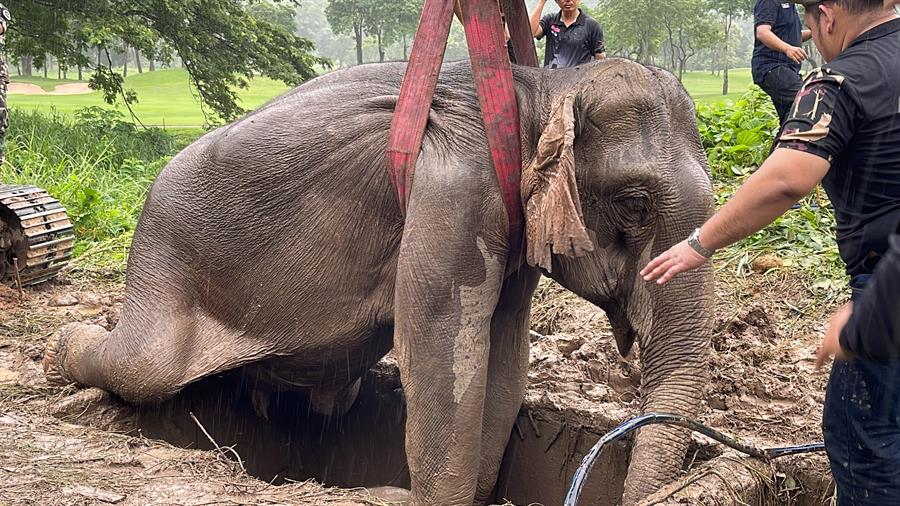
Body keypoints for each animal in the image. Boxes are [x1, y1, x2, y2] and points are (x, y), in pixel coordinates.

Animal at [42, 57, 712, 504]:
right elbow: (441, 345)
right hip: (164, 262)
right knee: (145, 366)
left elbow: (505, 352)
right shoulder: (456, 190)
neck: (537, 88)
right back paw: (57, 351)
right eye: (634, 203)